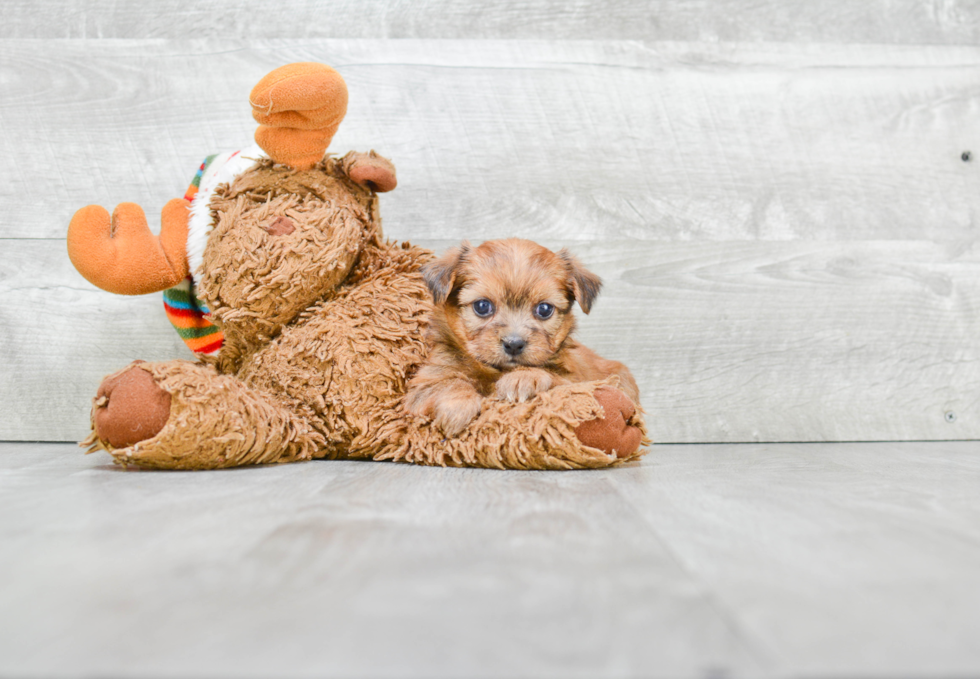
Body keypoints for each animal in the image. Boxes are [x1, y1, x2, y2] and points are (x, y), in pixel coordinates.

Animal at [402, 239, 640, 438]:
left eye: (544, 309)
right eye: (482, 306)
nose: (514, 344)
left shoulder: (576, 381)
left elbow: (556, 379)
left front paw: (524, 377)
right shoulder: (424, 385)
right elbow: (449, 383)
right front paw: (457, 408)